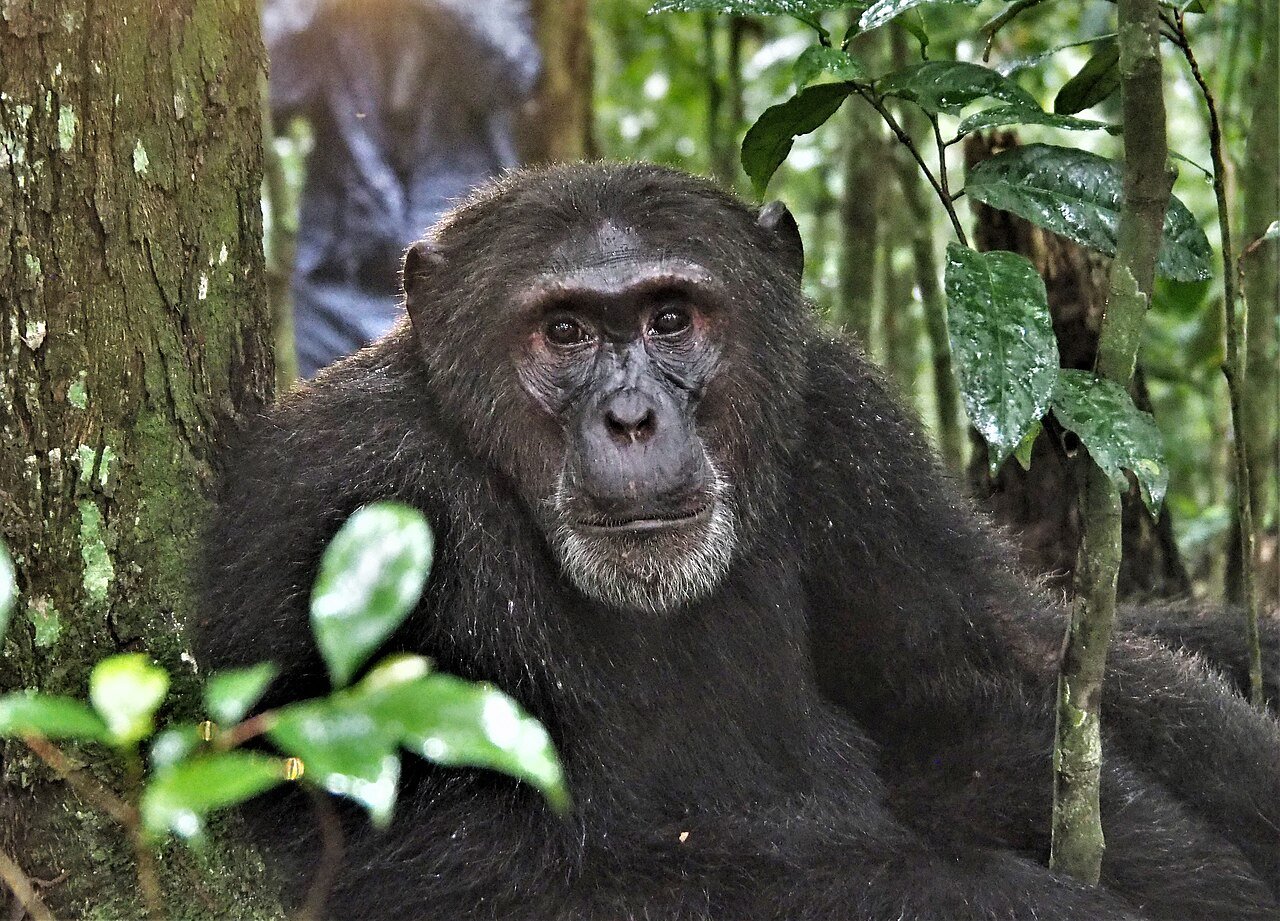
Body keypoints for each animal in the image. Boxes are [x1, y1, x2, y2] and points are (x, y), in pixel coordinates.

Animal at [197, 162, 1279, 920]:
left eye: (671, 318)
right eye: (564, 332)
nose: (631, 417)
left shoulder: (853, 429)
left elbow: (1001, 655)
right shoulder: (322, 497)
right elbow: (479, 870)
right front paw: (1025, 902)